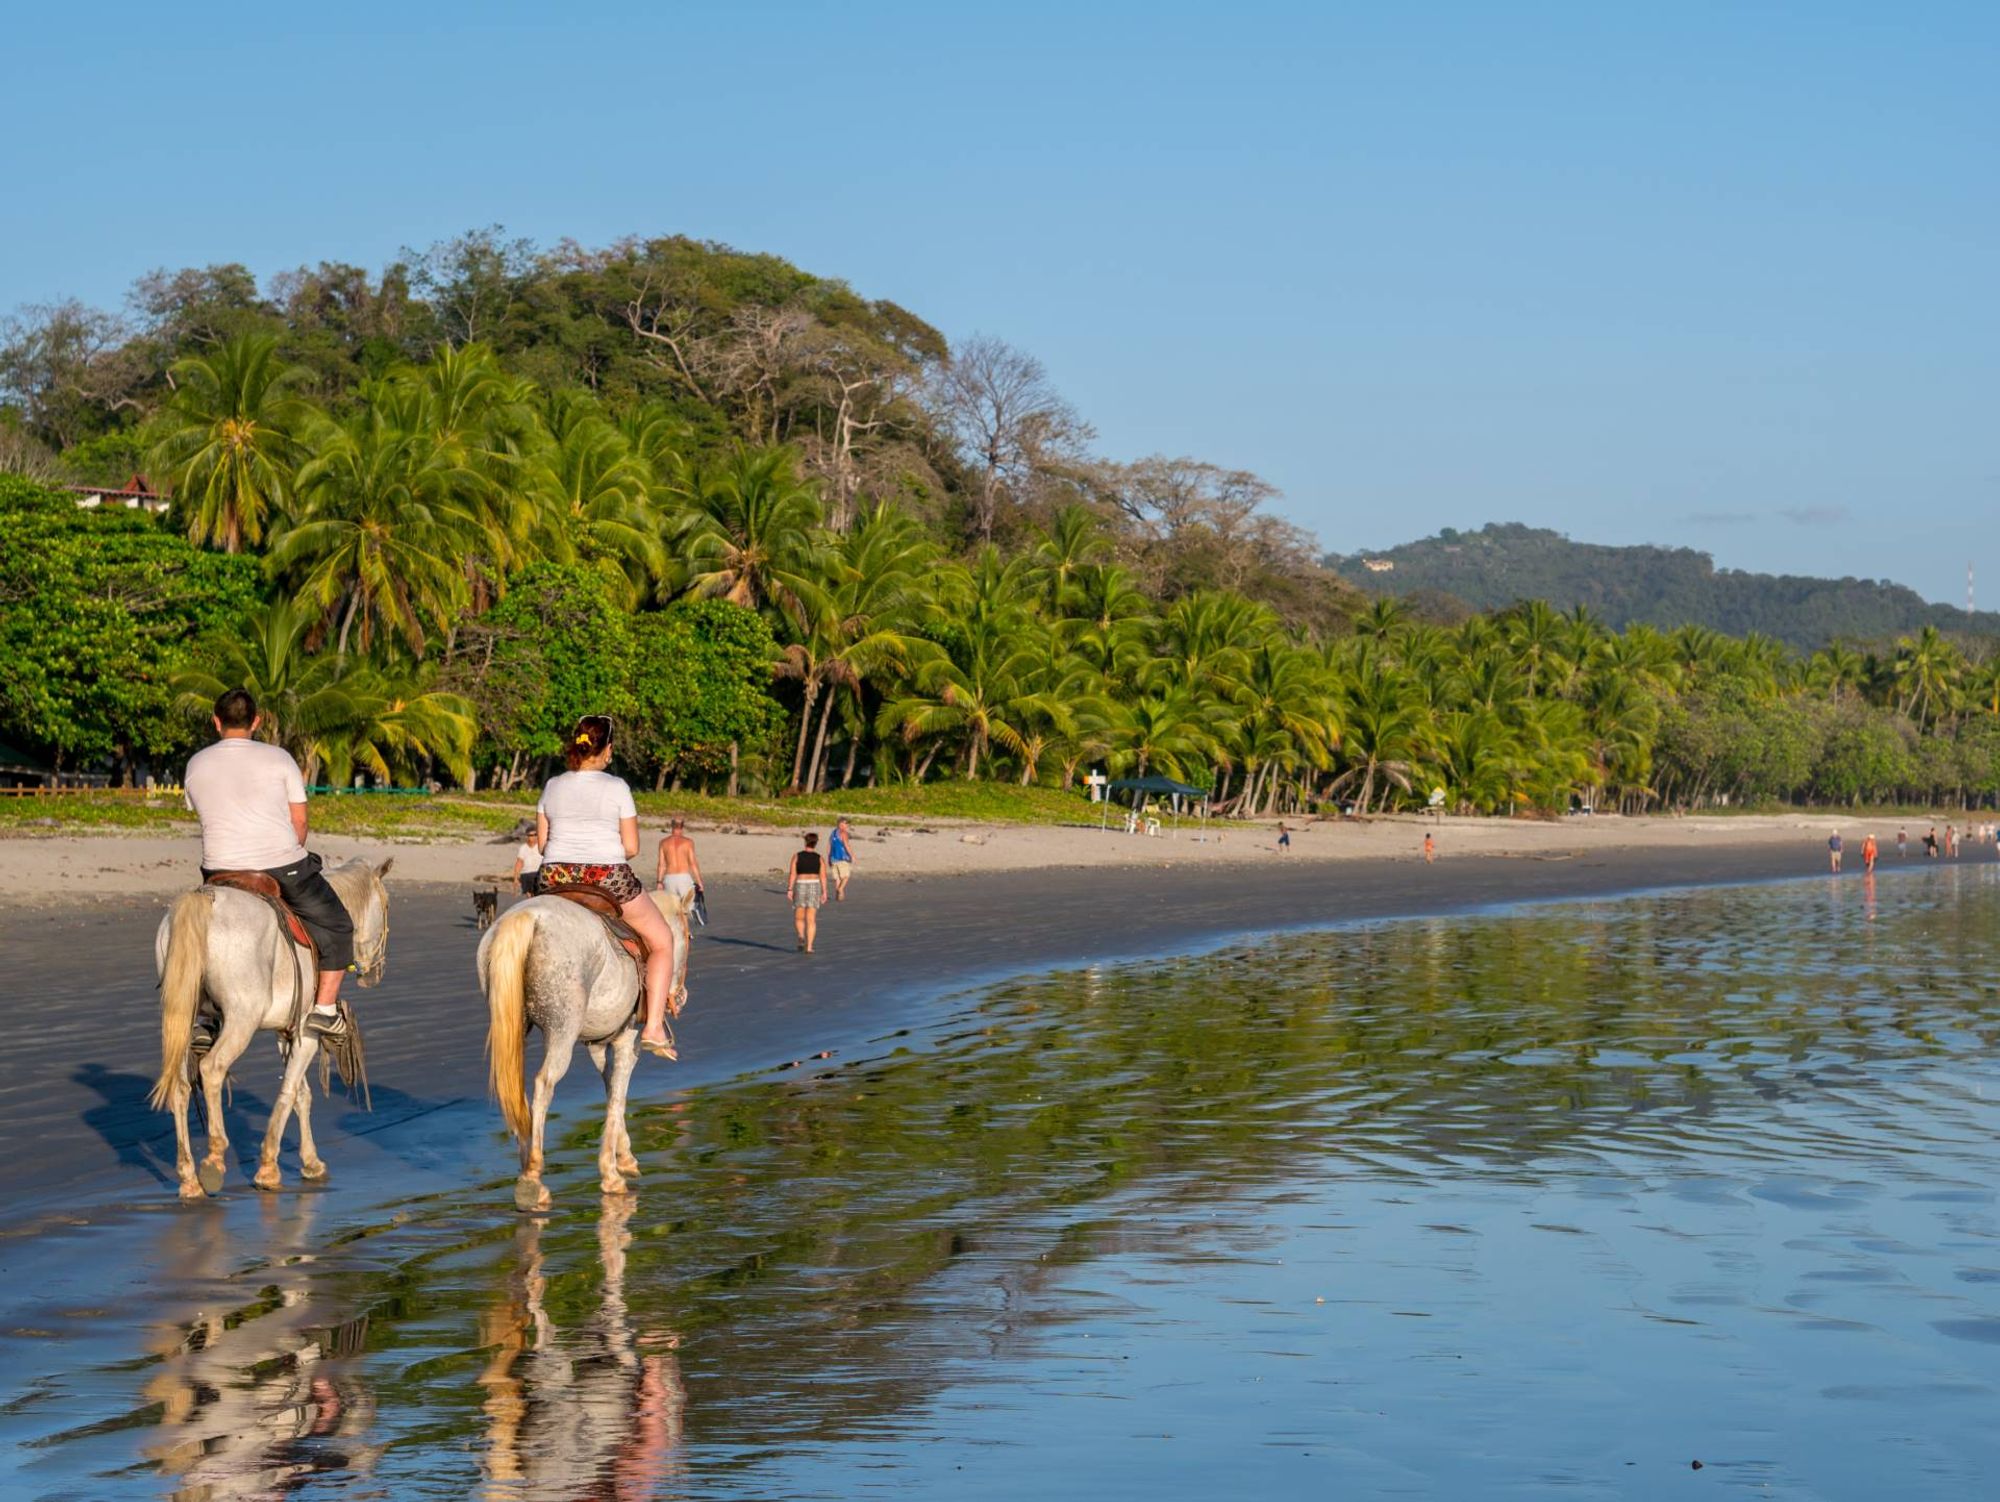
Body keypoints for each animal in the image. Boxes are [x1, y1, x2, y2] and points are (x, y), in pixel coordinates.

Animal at [146, 864, 394, 1208]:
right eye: (386, 907)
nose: (375, 974)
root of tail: (205, 899)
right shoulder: (306, 1032)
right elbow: (289, 1092)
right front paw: (268, 1168)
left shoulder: (284, 1033)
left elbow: (301, 1095)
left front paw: (311, 1162)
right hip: (242, 1020)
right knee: (212, 1069)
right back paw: (214, 1159)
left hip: (181, 1019)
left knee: (181, 1086)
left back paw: (189, 1179)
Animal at [478, 892, 692, 1208]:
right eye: (688, 936)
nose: (681, 996)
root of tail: (528, 917)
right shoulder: (627, 1040)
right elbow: (619, 1094)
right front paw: (611, 1174)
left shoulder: (599, 1047)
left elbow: (611, 1089)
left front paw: (624, 1158)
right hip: (562, 1031)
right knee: (544, 1084)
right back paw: (532, 1177)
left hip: (512, 1024)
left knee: (515, 1089)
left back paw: (525, 1166)